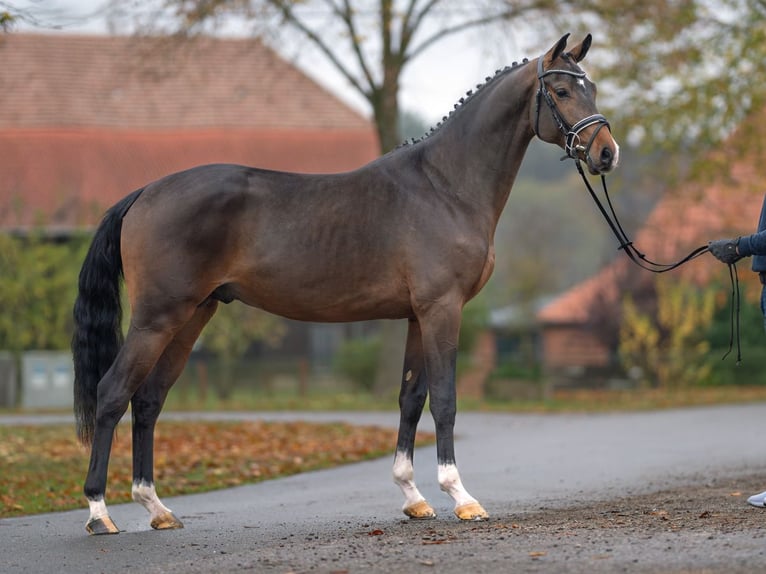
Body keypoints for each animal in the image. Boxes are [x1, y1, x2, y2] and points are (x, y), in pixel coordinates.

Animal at [75, 32, 620, 536]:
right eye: (563, 91)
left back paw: (156, 508)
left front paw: (413, 497)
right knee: (112, 393)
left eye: (590, 87)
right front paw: (461, 497)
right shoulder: (442, 309)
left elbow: (410, 398)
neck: (445, 186)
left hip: (192, 315)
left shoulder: (416, 316)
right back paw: (100, 512)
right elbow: (444, 399)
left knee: (148, 400)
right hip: (157, 318)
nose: (606, 153)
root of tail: (146, 191)